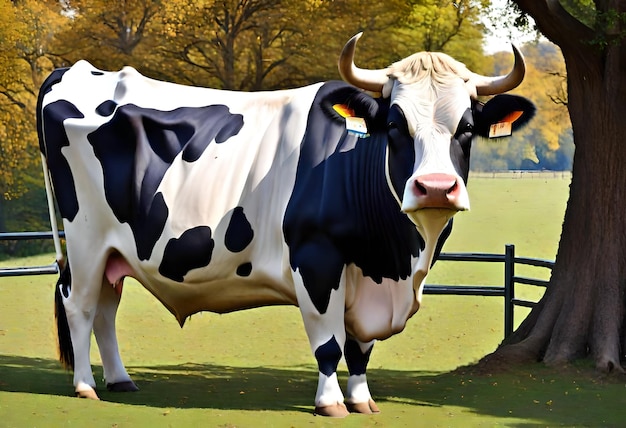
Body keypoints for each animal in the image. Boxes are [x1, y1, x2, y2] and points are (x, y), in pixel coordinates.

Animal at [37, 34, 532, 418]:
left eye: (466, 127)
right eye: (395, 124)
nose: (435, 187)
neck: (393, 260)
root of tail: (75, 70)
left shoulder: (365, 276)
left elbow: (361, 348)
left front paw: (362, 400)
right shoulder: (316, 258)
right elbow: (330, 342)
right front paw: (331, 403)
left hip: (113, 251)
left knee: (106, 308)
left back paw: (119, 380)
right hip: (85, 240)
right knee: (79, 305)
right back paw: (85, 386)